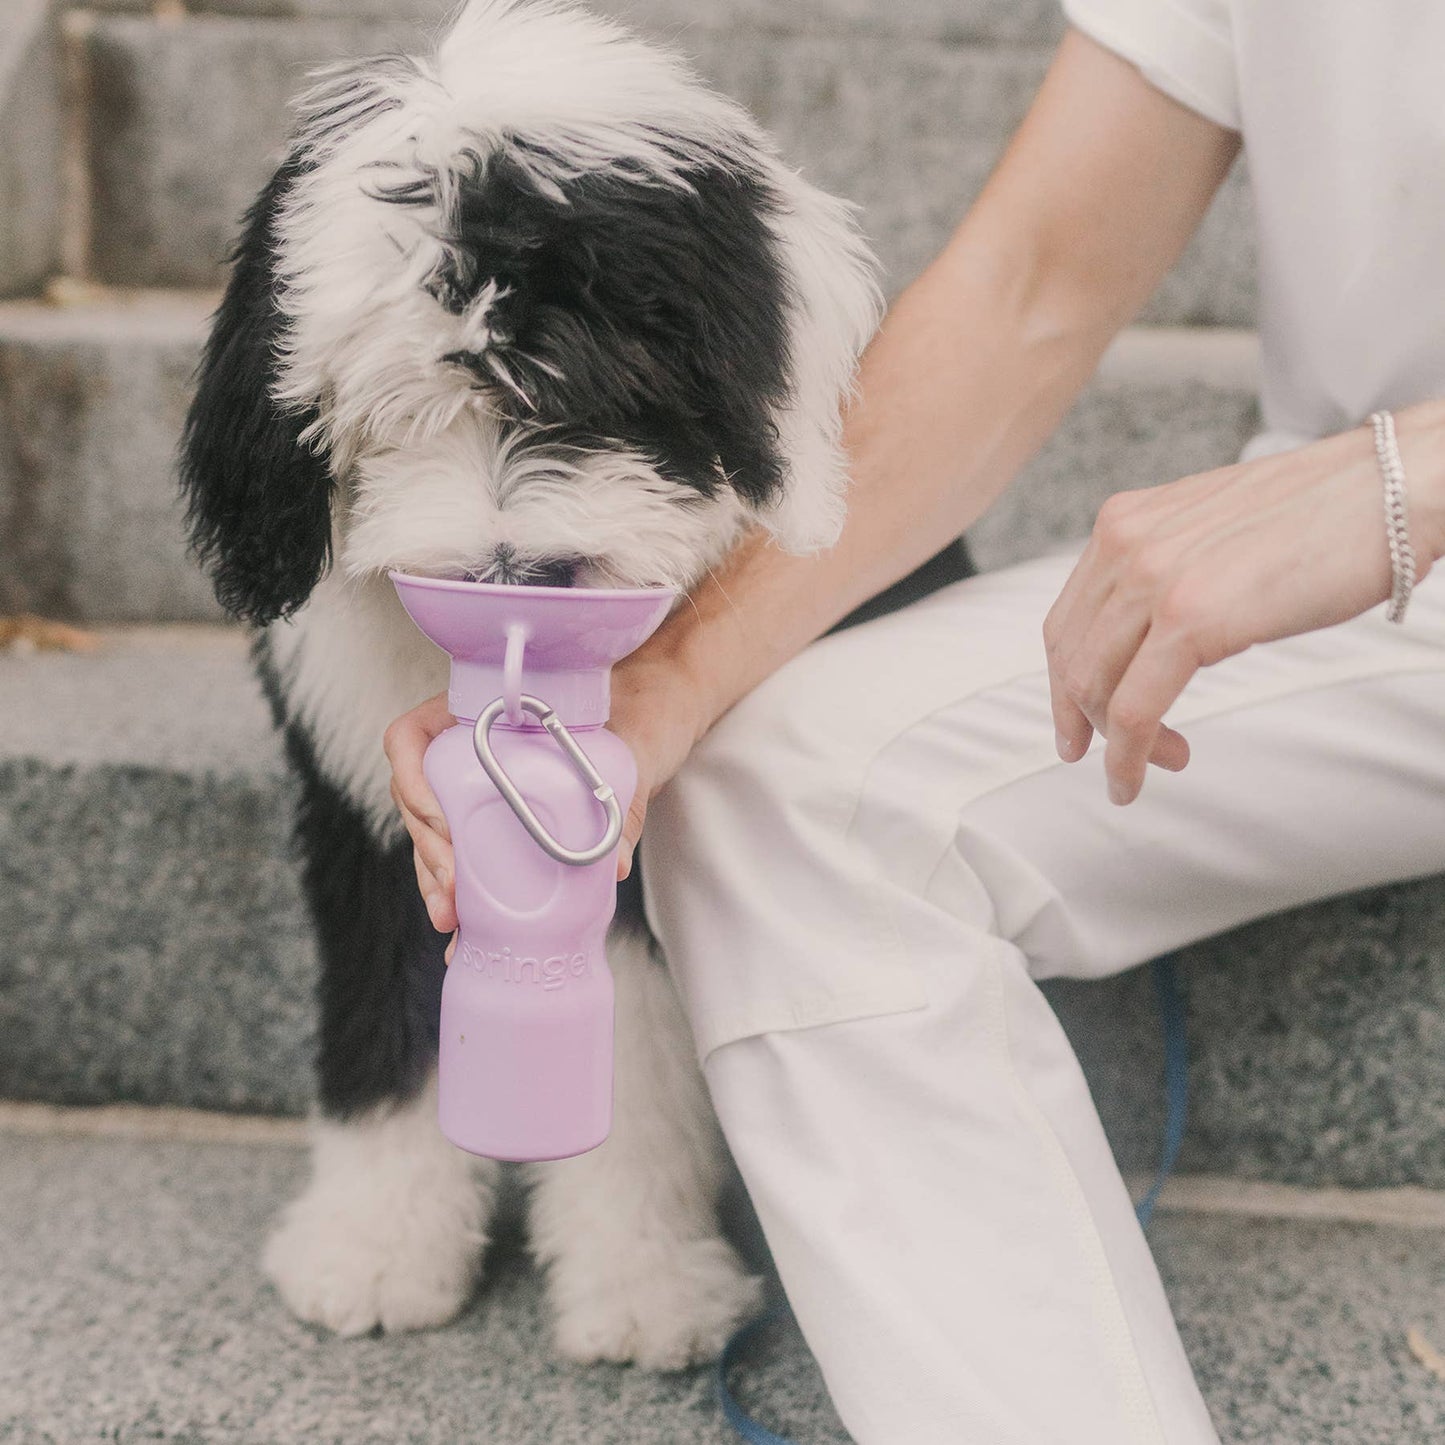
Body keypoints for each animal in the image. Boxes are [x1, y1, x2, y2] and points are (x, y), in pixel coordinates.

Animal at [180, 0, 878, 1364]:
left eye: (608, 384)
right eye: (398, 404)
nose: (518, 574)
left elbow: (637, 1065)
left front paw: (645, 1282)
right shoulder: (369, 804)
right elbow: (388, 1014)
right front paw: (375, 1248)